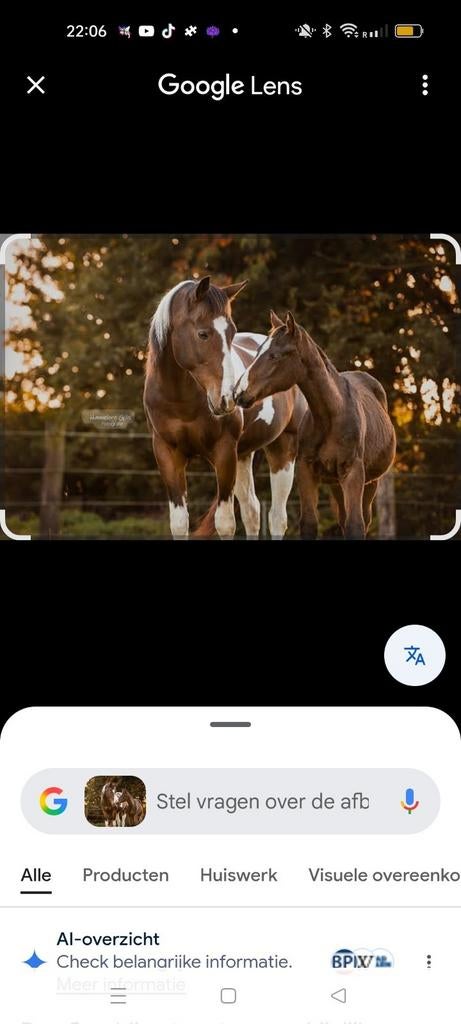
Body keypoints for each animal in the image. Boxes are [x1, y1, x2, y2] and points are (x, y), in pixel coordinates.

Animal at [143, 278, 307, 539]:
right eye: (202, 334)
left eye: (231, 333)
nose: (229, 398)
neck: (181, 401)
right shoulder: (167, 453)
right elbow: (179, 523)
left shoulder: (224, 451)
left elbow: (225, 523)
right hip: (244, 455)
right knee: (252, 512)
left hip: (282, 449)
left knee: (277, 518)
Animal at [234, 310, 396, 539]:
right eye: (257, 352)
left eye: (275, 355)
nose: (239, 393)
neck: (330, 416)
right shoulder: (306, 470)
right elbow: (309, 523)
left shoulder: (353, 473)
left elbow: (356, 525)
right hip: (337, 485)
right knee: (342, 519)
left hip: (371, 483)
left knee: (360, 520)